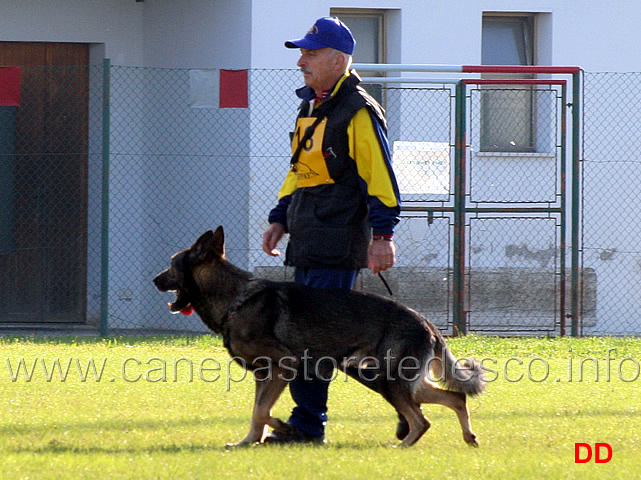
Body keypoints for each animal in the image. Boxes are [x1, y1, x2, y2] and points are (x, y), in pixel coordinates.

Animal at [154, 227, 484, 448]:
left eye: (170, 265)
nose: (155, 280)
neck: (236, 299)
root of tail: (426, 322)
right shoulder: (264, 375)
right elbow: (256, 413)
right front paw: (248, 442)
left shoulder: (283, 367)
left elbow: (262, 411)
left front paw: (283, 428)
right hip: (392, 381)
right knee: (455, 398)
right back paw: (468, 437)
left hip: (388, 380)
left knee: (422, 420)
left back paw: (401, 446)